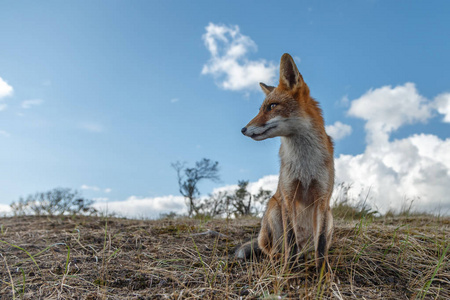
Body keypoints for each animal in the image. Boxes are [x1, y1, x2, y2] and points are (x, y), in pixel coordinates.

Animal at [236, 53, 334, 272]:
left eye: (272, 106)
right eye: (260, 109)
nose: (243, 129)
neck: (305, 164)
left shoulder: (322, 199)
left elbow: (321, 246)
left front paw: (323, 274)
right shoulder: (288, 196)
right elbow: (290, 239)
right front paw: (288, 271)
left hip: (330, 217)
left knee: (308, 248)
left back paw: (305, 258)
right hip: (273, 209)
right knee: (273, 249)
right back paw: (280, 259)